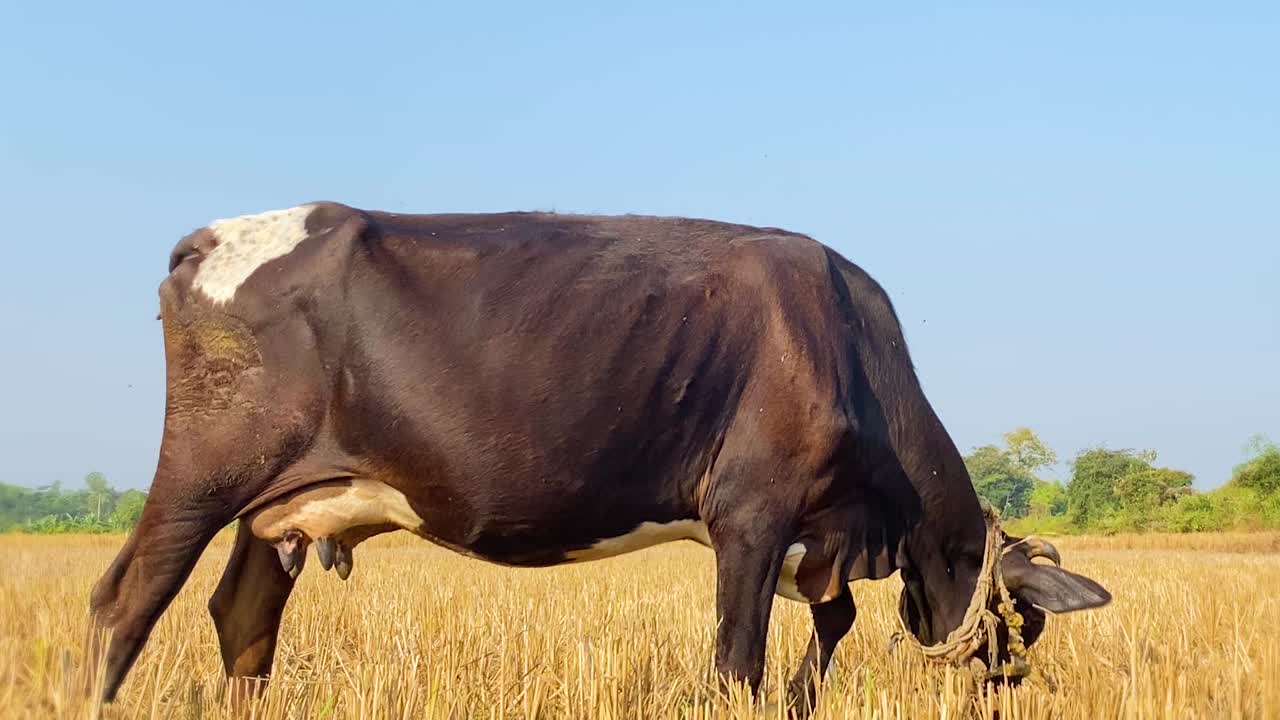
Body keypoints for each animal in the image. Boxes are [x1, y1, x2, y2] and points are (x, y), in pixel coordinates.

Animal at [89, 202, 1110, 713]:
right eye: (1029, 621)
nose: (1008, 695)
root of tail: (212, 237)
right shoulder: (751, 515)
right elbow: (736, 661)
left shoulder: (815, 537)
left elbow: (836, 621)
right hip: (202, 475)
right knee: (125, 603)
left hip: (286, 502)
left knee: (243, 615)